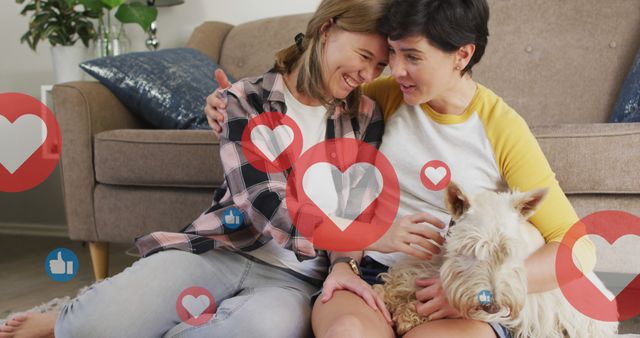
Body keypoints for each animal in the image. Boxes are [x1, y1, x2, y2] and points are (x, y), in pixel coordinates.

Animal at [376, 184, 620, 336]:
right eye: (470, 249)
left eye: (511, 253)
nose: (491, 305)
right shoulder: (432, 264)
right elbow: (404, 278)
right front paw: (382, 293)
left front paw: (408, 314)